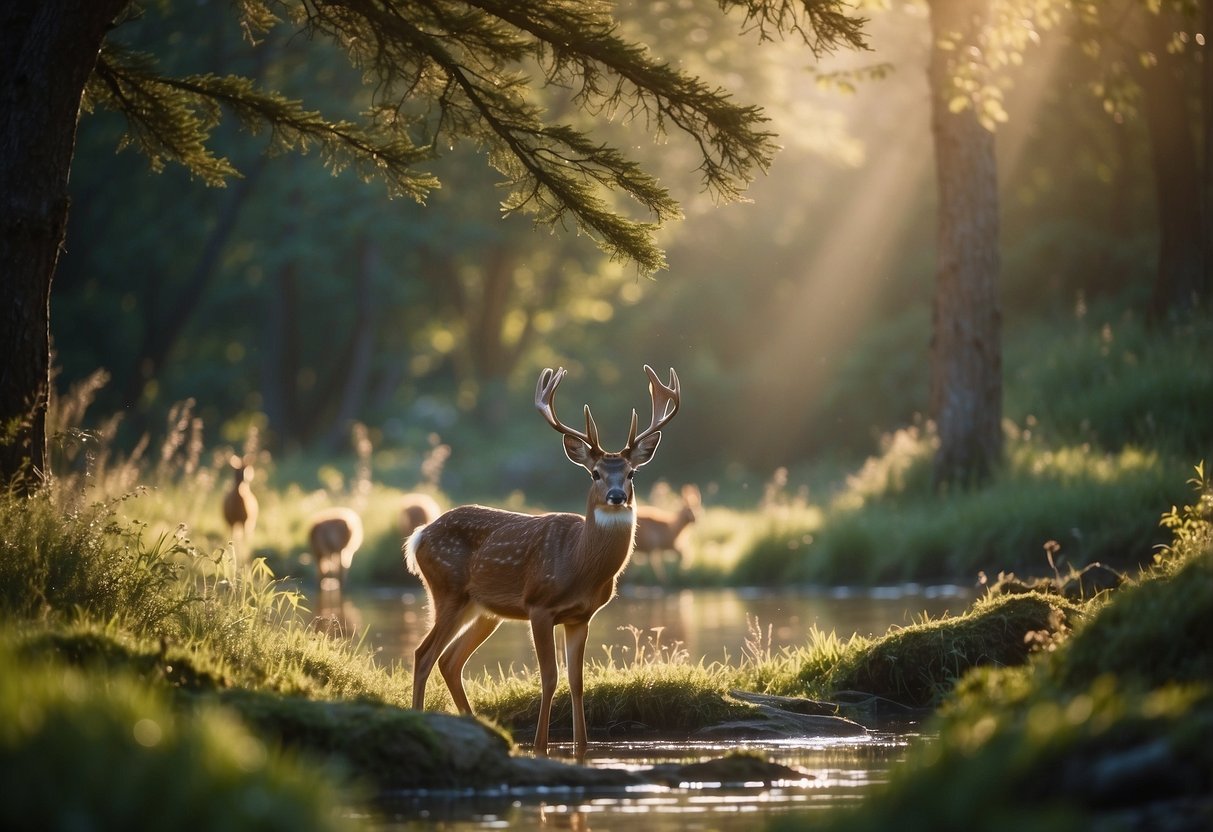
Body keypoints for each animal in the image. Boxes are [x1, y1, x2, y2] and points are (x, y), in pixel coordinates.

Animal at [402, 363, 679, 761]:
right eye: (594, 472)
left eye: (632, 473)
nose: (616, 496)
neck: (579, 564)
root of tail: (419, 535)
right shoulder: (539, 605)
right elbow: (549, 676)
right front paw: (540, 745)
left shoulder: (581, 616)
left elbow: (577, 681)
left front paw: (582, 747)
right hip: (447, 590)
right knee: (423, 654)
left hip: (483, 610)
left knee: (450, 660)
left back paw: (480, 730)